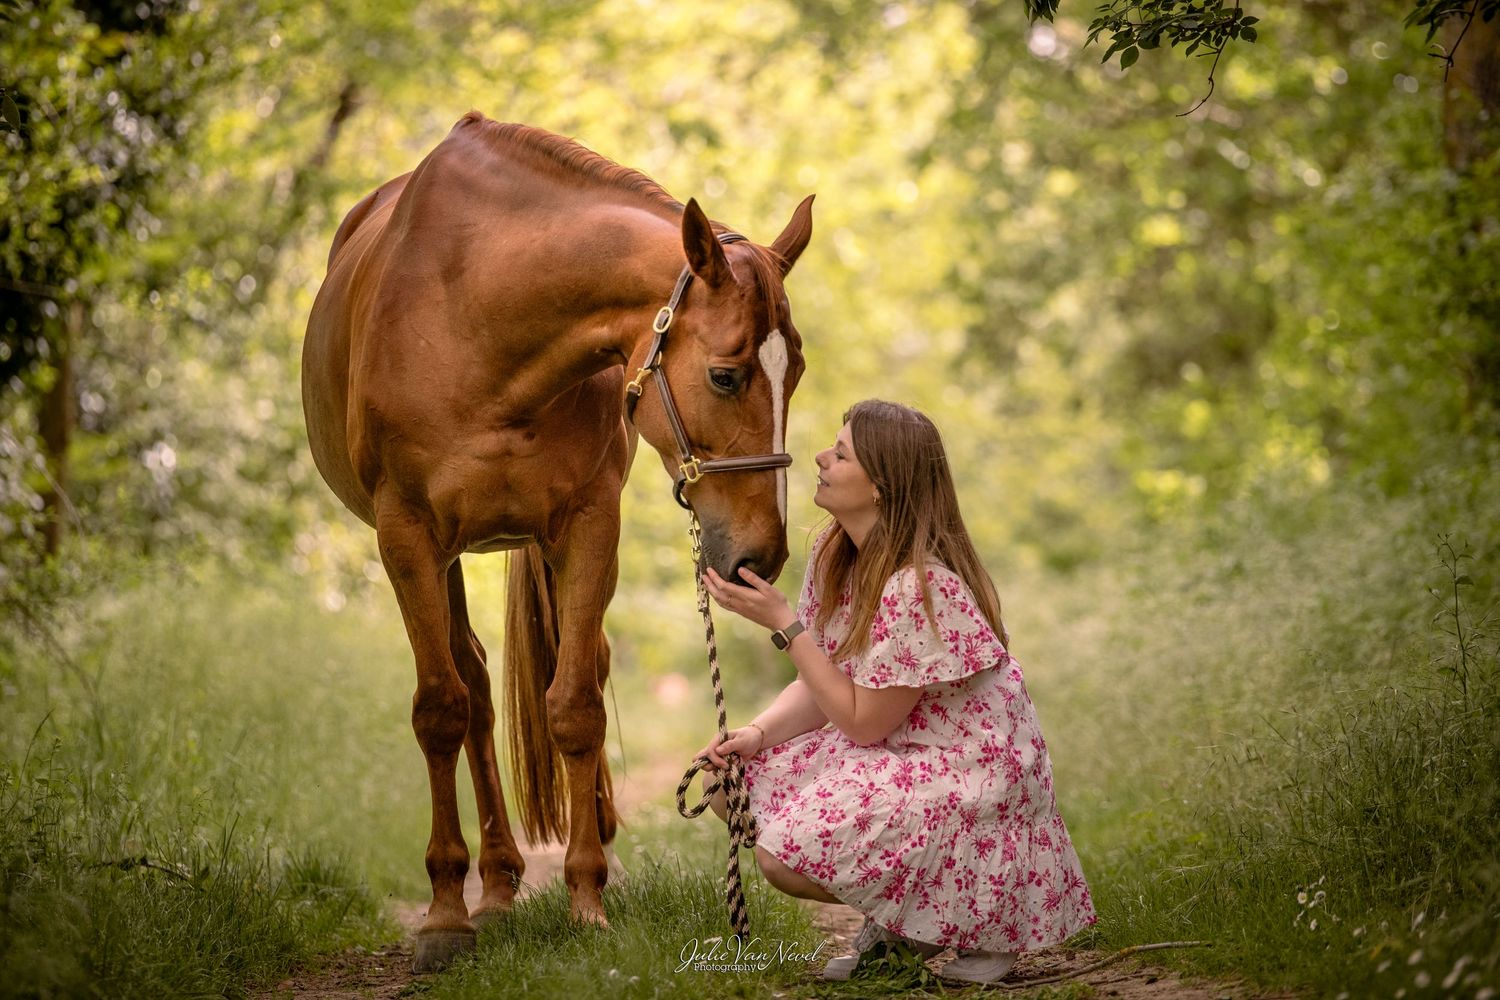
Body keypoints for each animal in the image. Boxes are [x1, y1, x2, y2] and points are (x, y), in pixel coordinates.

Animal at [301, 111, 813, 972]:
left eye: (796, 372)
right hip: (444, 555)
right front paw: (445, 913)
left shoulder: (587, 522)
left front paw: (586, 896)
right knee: (473, 689)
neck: (479, 312)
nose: (762, 555)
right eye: (725, 376)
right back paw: (495, 881)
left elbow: (573, 705)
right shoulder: (407, 533)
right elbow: (441, 709)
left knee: (575, 667)